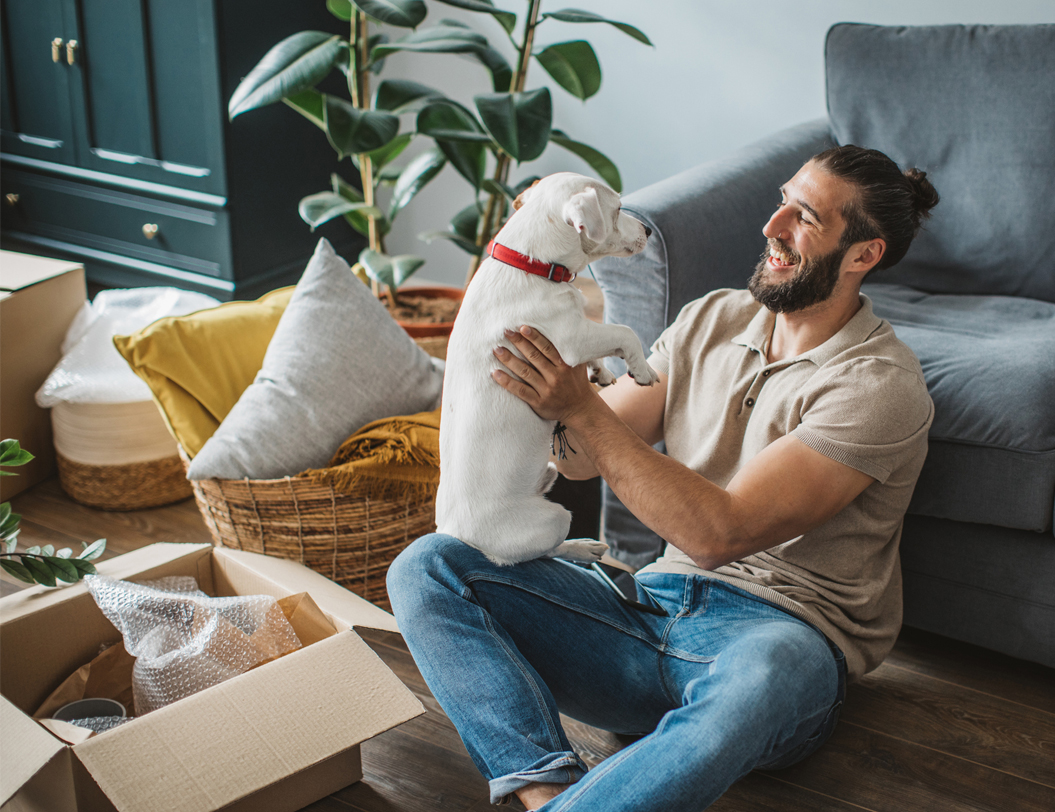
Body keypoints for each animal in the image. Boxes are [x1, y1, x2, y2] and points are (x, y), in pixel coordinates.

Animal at [432, 170, 654, 565]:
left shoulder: (579, 329)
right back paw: (581, 547)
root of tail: (454, 533)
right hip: (554, 519)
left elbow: (602, 340)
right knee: (547, 552)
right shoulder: (571, 337)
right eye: (617, 210)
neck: (530, 263)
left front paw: (600, 372)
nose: (648, 229)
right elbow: (624, 332)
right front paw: (641, 370)